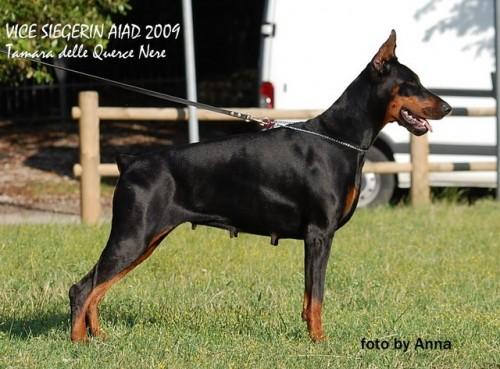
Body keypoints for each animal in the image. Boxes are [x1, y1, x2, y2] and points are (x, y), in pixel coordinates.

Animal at [69, 31, 454, 342]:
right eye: (412, 83)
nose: (449, 107)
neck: (341, 137)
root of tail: (131, 162)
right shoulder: (320, 233)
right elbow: (317, 295)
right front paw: (320, 341)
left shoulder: (314, 238)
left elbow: (308, 296)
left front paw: (310, 335)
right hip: (134, 236)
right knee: (82, 288)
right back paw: (79, 342)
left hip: (146, 240)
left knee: (97, 289)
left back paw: (99, 337)